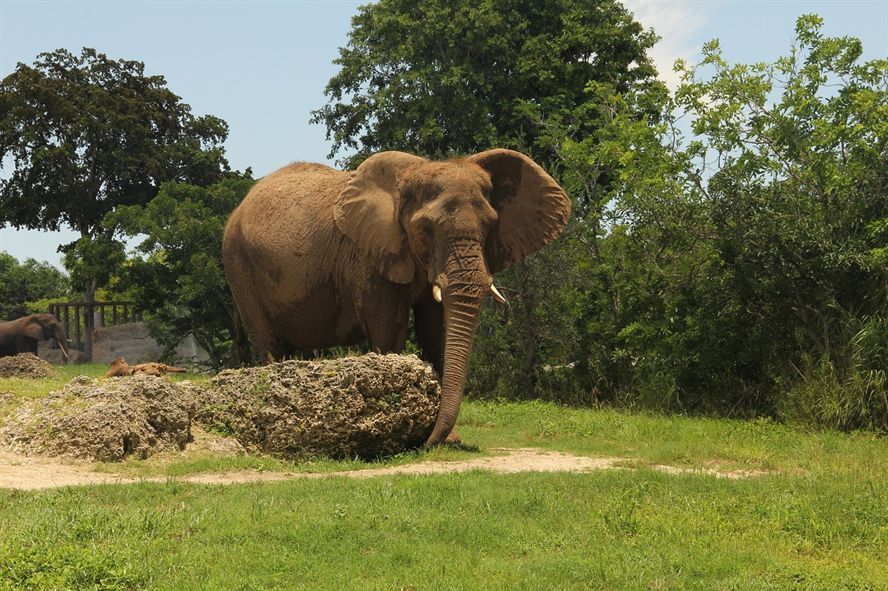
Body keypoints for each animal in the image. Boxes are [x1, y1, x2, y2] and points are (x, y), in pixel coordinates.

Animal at [222, 149, 570, 446]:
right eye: (426, 229)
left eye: (490, 226)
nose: (427, 443)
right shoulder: (367, 256)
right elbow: (389, 328)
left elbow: (436, 332)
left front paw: (446, 438)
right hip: (239, 265)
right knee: (270, 344)